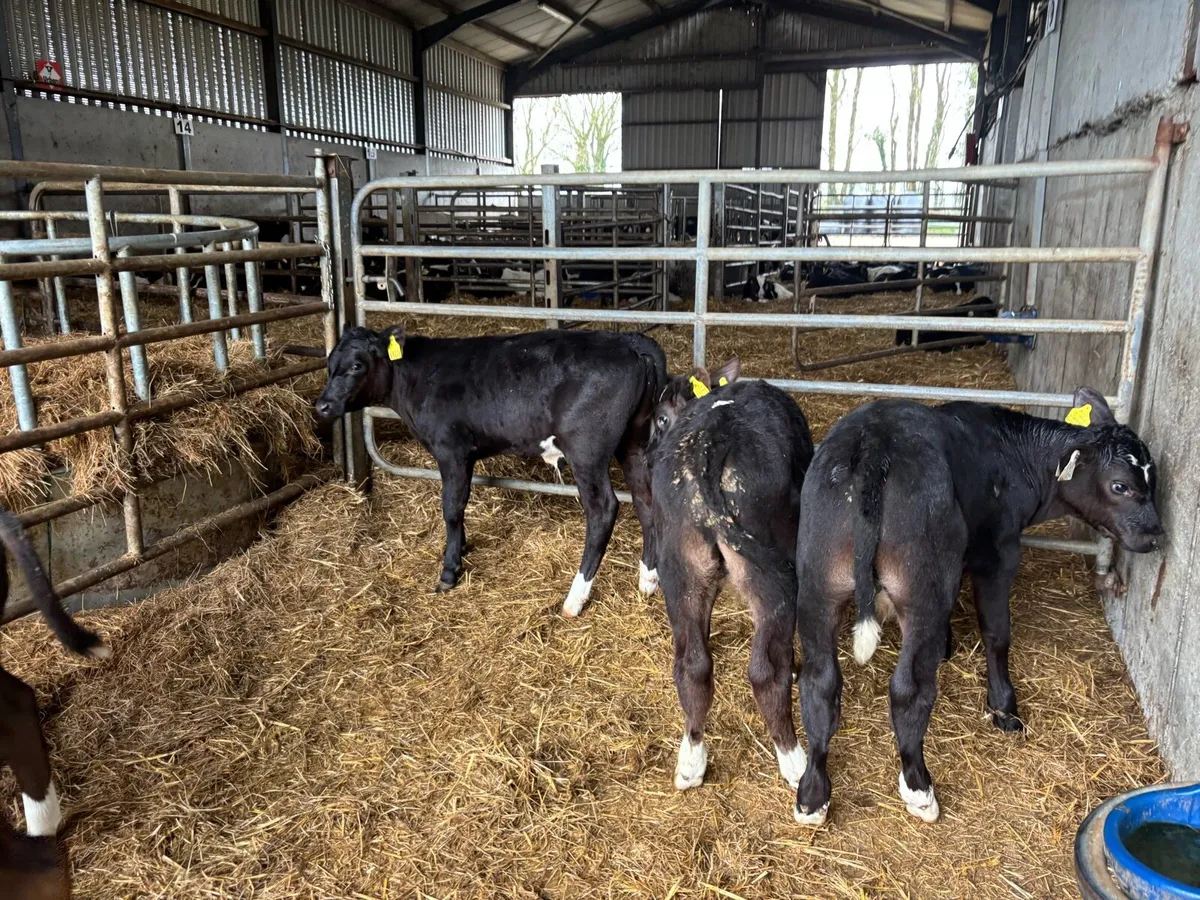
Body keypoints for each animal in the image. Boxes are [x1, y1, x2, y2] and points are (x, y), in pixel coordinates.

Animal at [315, 326, 668, 615]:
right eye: (330, 363)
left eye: (357, 365)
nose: (323, 406)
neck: (418, 376)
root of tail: (627, 339)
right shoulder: (465, 456)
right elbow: (461, 504)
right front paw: (460, 548)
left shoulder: (451, 450)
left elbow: (451, 508)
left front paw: (449, 571)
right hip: (633, 444)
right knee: (646, 502)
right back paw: (648, 580)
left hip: (587, 451)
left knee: (603, 510)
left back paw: (575, 598)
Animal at [648, 359, 816, 795]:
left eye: (660, 419)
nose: (648, 456)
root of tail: (711, 445)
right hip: (773, 578)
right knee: (765, 671)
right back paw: (795, 763)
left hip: (681, 571)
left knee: (691, 665)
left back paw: (691, 761)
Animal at [792, 387, 1163, 826]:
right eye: (1120, 485)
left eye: (1153, 479)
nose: (1156, 535)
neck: (1012, 454)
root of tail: (873, 445)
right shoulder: (997, 554)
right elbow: (997, 633)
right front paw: (1003, 708)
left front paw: (946, 644)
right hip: (922, 584)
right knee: (909, 689)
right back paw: (919, 787)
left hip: (818, 580)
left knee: (819, 683)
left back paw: (812, 794)